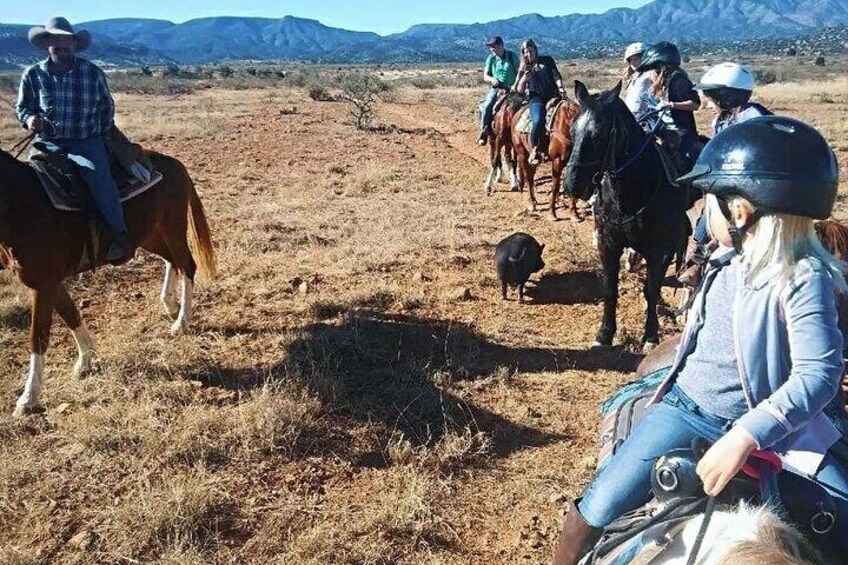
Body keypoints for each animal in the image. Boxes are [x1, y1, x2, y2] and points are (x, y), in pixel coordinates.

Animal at [2, 148, 215, 416]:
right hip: (150, 235)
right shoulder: (50, 283)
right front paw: (85, 360)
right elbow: (71, 314)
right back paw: (169, 303)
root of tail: (173, 163)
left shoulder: (43, 284)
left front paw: (28, 398)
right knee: (172, 261)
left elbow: (38, 337)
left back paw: (181, 322)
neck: (22, 207)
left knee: (187, 265)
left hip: (172, 227)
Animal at [564, 79, 688, 348]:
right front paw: (604, 334)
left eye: (599, 134)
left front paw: (650, 335)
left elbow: (651, 289)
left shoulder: (658, 250)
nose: (572, 185)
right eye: (571, 130)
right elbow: (610, 287)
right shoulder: (608, 244)